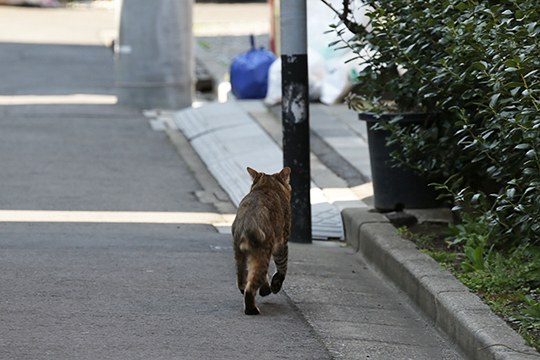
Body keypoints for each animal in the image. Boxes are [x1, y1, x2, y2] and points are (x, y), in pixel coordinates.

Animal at [231, 167, 292, 316]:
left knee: (242, 281)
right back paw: (252, 309)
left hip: (240, 256)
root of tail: (246, 224)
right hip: (263, 252)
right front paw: (275, 284)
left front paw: (266, 288)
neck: (267, 186)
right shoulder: (282, 243)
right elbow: (283, 266)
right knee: (250, 287)